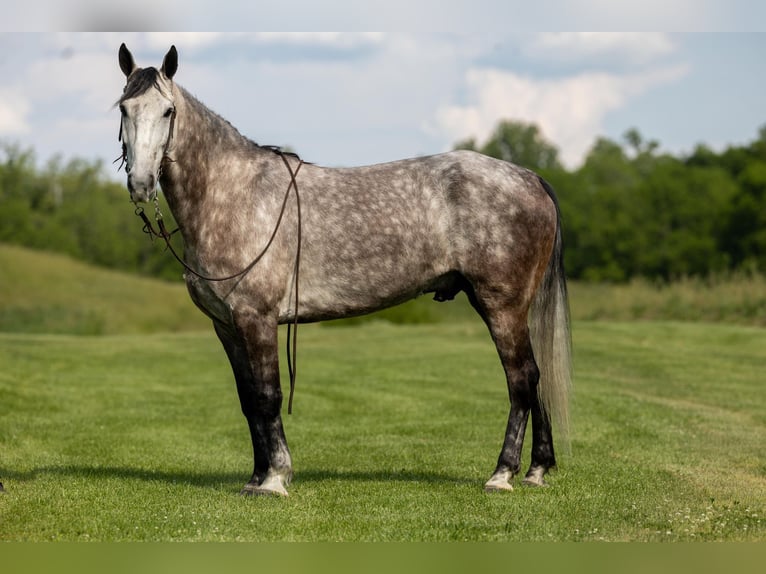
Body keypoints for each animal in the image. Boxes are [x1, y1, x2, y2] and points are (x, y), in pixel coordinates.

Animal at [116, 43, 572, 496]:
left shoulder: (256, 319)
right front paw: (256, 477)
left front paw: (275, 479)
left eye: (168, 111)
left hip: (501, 306)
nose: (140, 183)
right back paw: (537, 469)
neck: (233, 194)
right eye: (124, 108)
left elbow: (267, 396)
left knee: (520, 380)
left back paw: (503, 474)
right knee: (534, 379)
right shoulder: (226, 326)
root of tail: (529, 177)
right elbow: (248, 401)